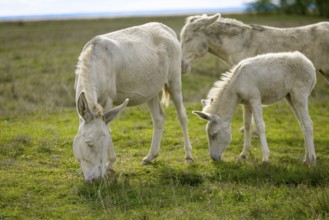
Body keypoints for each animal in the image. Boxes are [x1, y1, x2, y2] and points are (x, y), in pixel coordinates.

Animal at [73, 22, 192, 182]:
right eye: (89, 144)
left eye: (105, 143)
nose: (96, 180)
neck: (96, 61)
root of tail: (166, 29)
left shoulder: (108, 99)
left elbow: (108, 128)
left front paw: (110, 164)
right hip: (151, 90)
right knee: (159, 118)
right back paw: (150, 157)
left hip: (174, 80)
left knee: (182, 116)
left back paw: (188, 156)